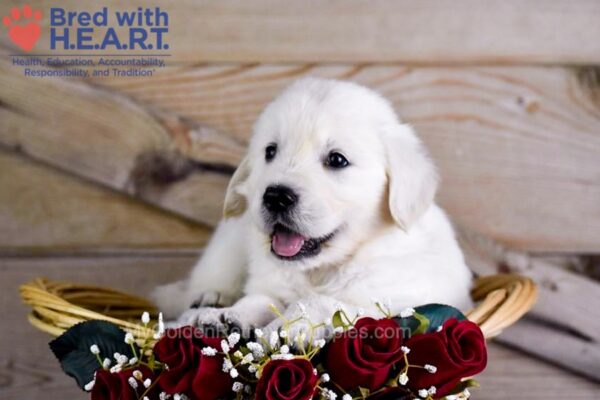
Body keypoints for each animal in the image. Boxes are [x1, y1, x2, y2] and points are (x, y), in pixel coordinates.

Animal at [155, 77, 474, 334]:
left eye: (337, 159)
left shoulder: (399, 303)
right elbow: (259, 298)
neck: (321, 270)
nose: (276, 197)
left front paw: (288, 326)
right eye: (270, 151)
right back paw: (208, 301)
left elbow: (323, 302)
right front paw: (227, 315)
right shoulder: (269, 282)